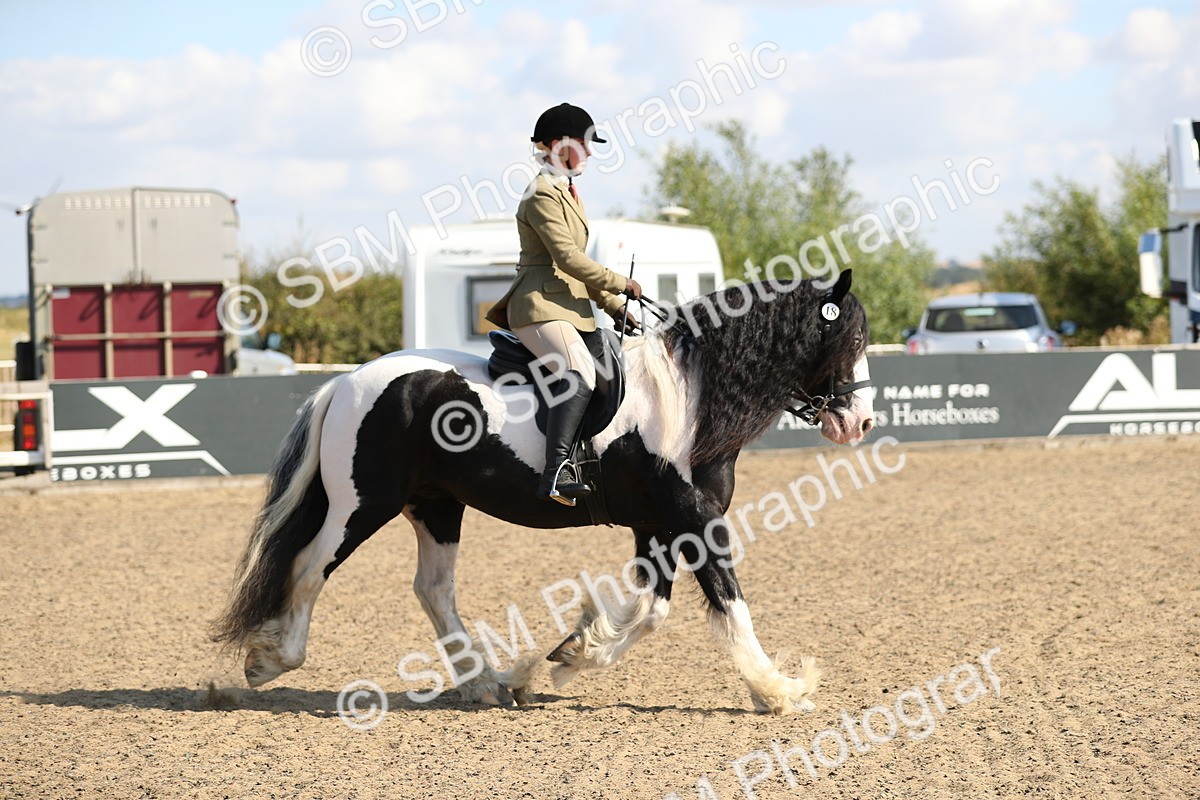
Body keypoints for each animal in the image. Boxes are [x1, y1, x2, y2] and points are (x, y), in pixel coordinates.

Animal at [212, 269, 874, 714]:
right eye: (852, 342)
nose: (861, 423)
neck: (687, 399)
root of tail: (347, 383)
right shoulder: (692, 518)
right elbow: (729, 603)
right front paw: (780, 688)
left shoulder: (658, 524)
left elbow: (653, 611)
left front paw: (570, 655)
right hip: (362, 505)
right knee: (309, 566)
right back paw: (272, 660)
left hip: (436, 505)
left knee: (432, 589)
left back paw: (484, 683)